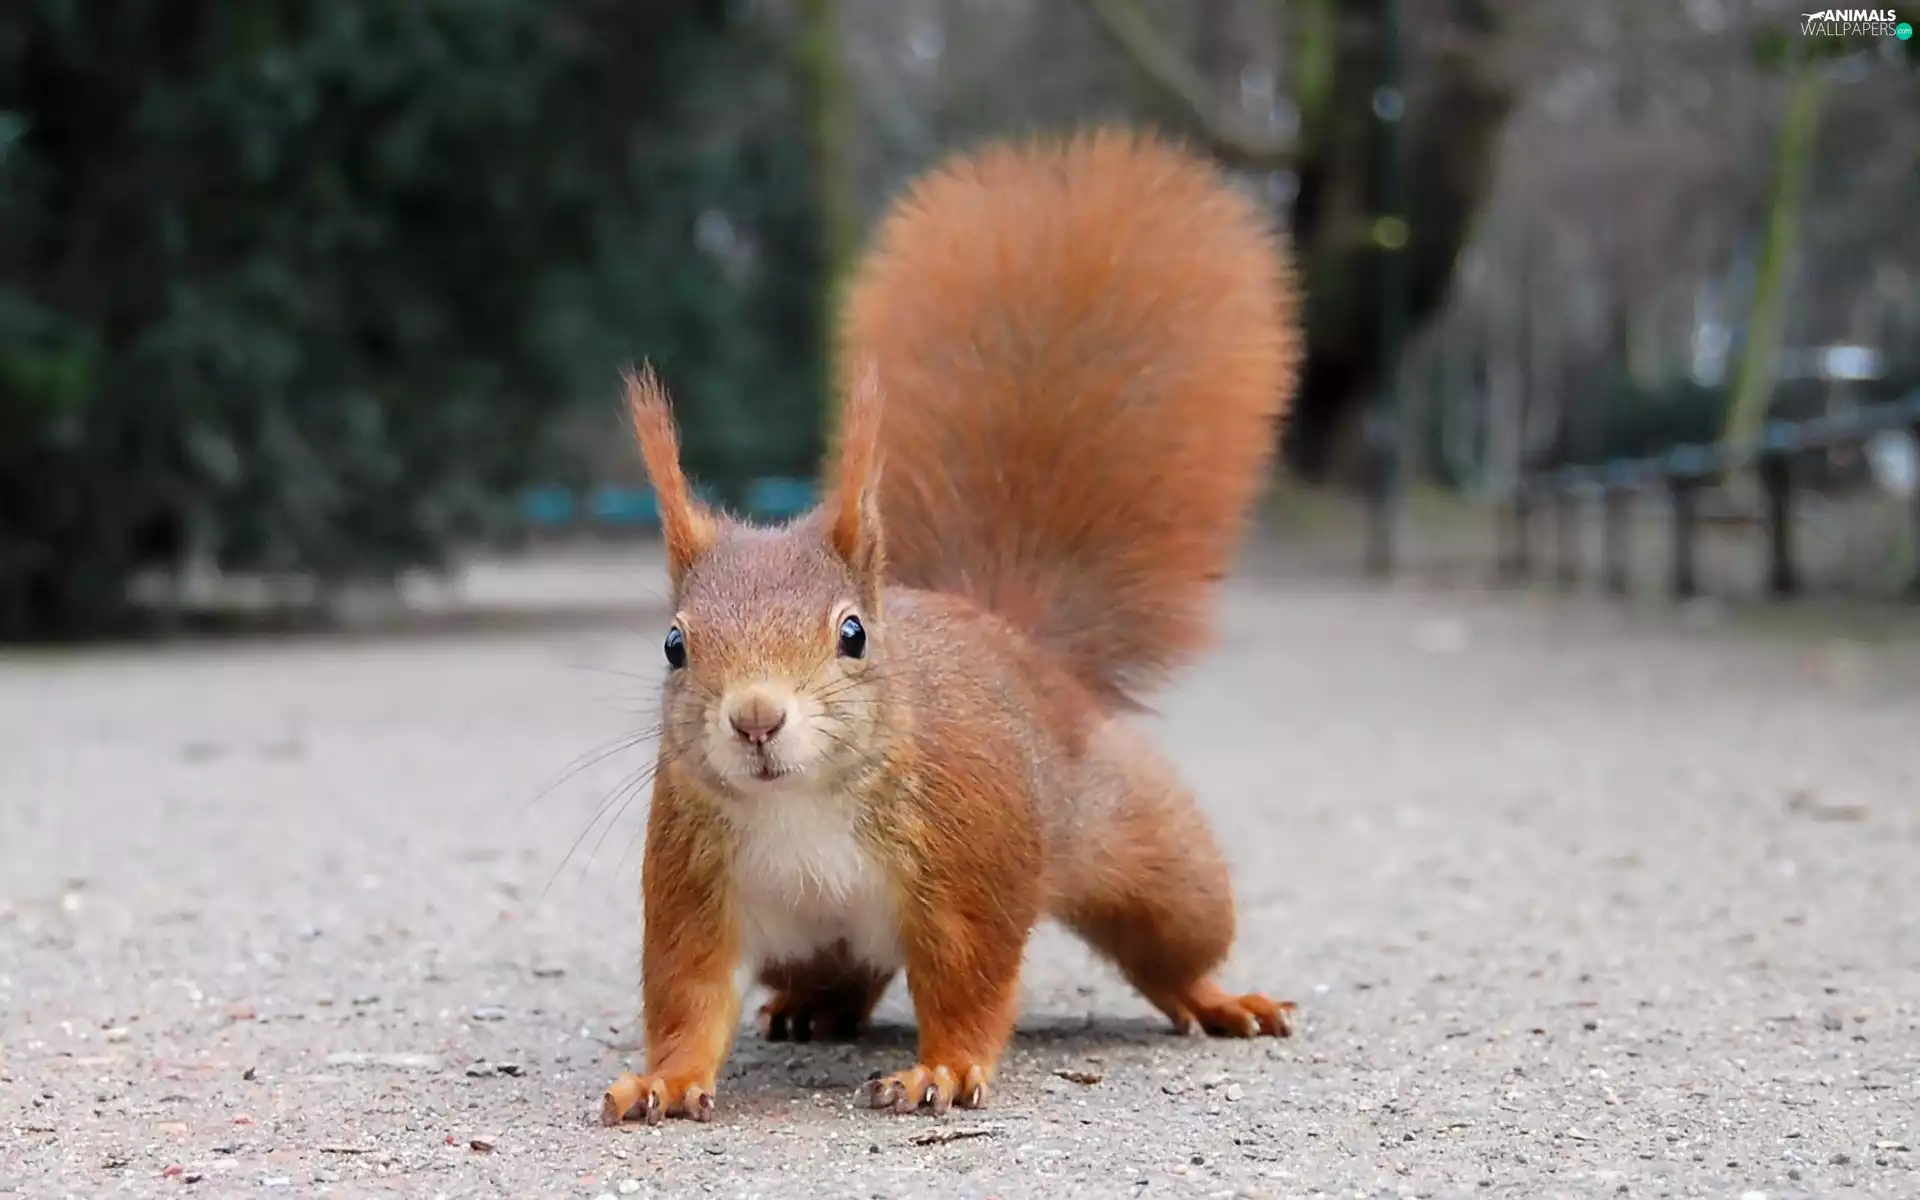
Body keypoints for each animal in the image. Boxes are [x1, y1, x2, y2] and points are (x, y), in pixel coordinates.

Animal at [601, 126, 1301, 1126]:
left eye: (854, 634)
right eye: (673, 645)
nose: (756, 719)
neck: (801, 803)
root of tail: (1018, 639)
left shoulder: (970, 864)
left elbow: (968, 981)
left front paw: (941, 1068)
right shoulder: (696, 884)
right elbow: (688, 995)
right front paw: (663, 1079)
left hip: (1152, 854)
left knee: (1173, 943)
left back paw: (1217, 999)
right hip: (809, 940)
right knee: (844, 973)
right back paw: (811, 1008)